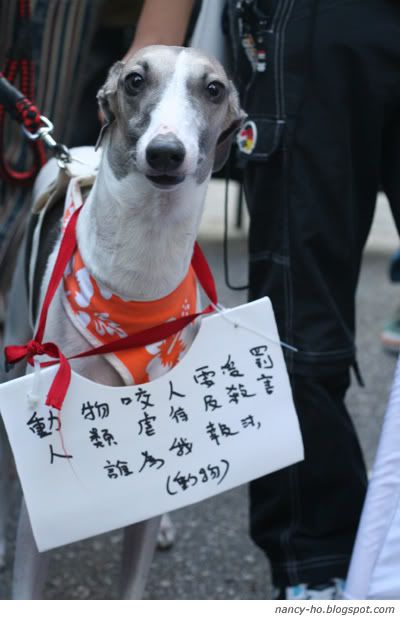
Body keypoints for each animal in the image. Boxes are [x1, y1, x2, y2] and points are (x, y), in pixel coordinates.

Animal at [0, 46, 244, 600]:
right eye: (134, 80)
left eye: (214, 89)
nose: (166, 153)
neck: (137, 281)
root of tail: (71, 155)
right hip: (14, 339)